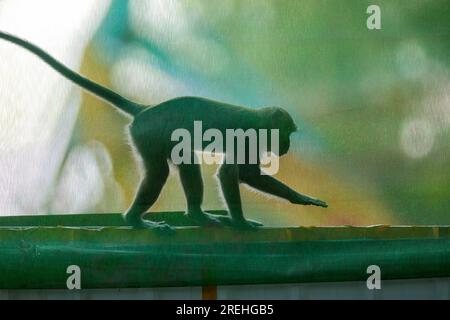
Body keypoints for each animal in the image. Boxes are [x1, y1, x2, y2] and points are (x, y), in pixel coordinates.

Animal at [0, 31, 326, 232]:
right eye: (288, 133)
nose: (287, 145)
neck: (260, 121)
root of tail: (146, 109)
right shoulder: (251, 137)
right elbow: (235, 174)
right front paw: (245, 221)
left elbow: (238, 173)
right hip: (145, 134)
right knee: (159, 171)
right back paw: (135, 220)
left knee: (185, 161)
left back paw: (195, 214)